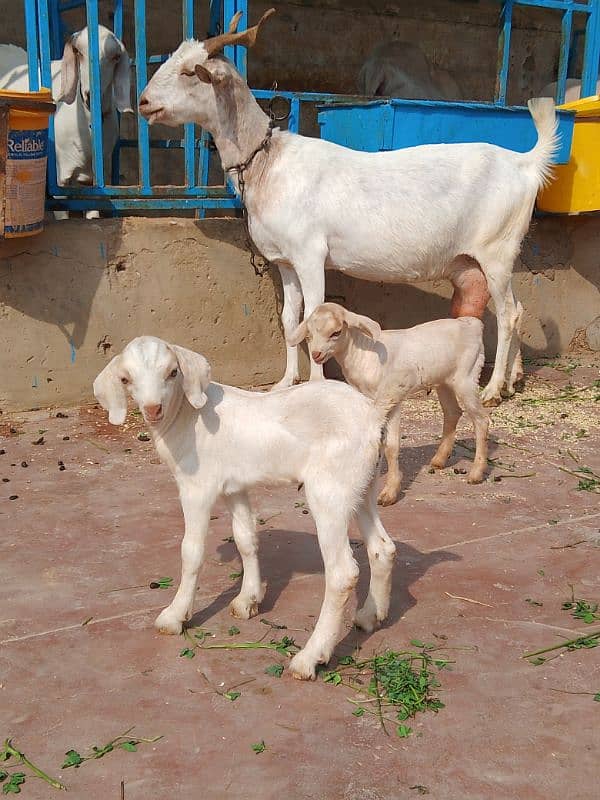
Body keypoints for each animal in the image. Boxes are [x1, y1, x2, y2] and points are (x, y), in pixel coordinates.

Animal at [137, 9, 556, 404]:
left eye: (192, 72)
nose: (143, 102)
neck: (267, 162)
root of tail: (524, 163)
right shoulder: (284, 260)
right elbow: (289, 319)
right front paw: (285, 383)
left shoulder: (310, 253)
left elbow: (312, 314)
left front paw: (316, 384)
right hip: (487, 256)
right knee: (515, 308)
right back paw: (514, 378)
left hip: (496, 249)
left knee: (508, 313)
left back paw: (494, 389)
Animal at [290, 304, 488, 504]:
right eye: (309, 335)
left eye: (336, 332)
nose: (316, 354)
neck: (364, 355)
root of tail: (473, 324)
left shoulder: (392, 396)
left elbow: (391, 446)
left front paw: (390, 492)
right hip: (444, 381)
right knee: (452, 412)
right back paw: (439, 460)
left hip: (467, 377)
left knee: (481, 420)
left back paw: (476, 473)